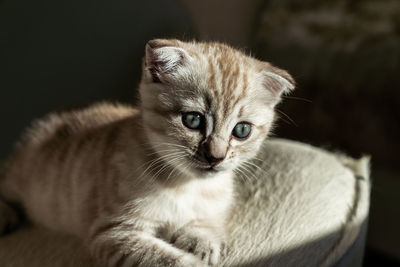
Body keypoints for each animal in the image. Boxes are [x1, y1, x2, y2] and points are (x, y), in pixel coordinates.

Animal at [0, 38, 294, 266]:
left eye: (241, 130)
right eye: (193, 120)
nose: (216, 157)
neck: (187, 186)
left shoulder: (214, 207)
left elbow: (207, 223)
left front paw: (201, 241)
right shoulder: (113, 232)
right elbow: (163, 257)